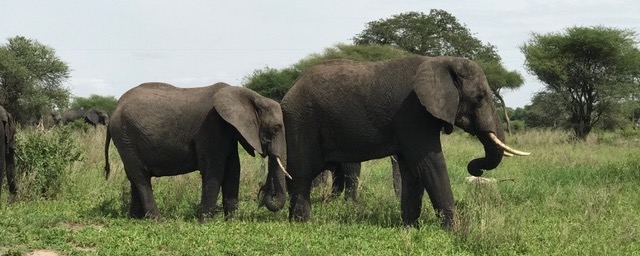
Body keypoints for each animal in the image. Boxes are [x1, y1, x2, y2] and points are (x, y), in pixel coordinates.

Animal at [104, 82, 288, 222]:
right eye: (275, 128)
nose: (264, 193)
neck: (250, 96)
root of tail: (115, 109)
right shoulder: (211, 126)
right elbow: (214, 170)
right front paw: (205, 222)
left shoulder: (228, 132)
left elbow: (233, 170)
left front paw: (232, 222)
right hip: (125, 137)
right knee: (140, 177)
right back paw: (159, 221)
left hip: (127, 139)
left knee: (134, 177)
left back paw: (135, 218)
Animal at [280, 56, 528, 228]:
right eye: (479, 98)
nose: (476, 169)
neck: (441, 61)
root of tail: (289, 90)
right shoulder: (412, 112)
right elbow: (430, 163)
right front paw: (455, 230)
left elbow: (412, 169)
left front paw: (410, 228)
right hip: (301, 121)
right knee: (302, 174)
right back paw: (302, 223)